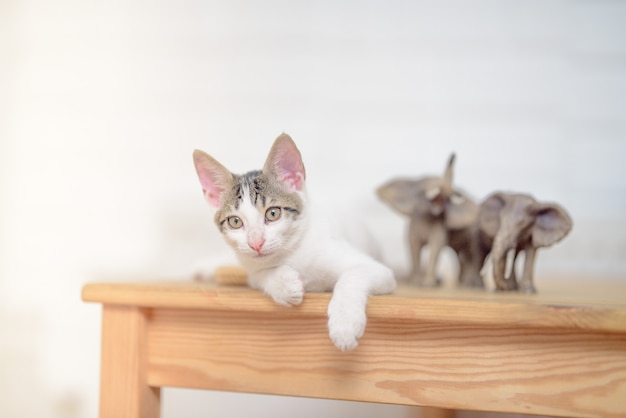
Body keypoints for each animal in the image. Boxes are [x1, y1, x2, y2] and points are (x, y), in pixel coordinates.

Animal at [191, 133, 394, 350]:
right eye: (235, 222)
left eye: (272, 213)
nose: (256, 243)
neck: (291, 252)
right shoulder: (250, 265)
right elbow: (258, 275)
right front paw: (283, 284)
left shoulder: (381, 271)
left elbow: (354, 275)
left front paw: (345, 324)